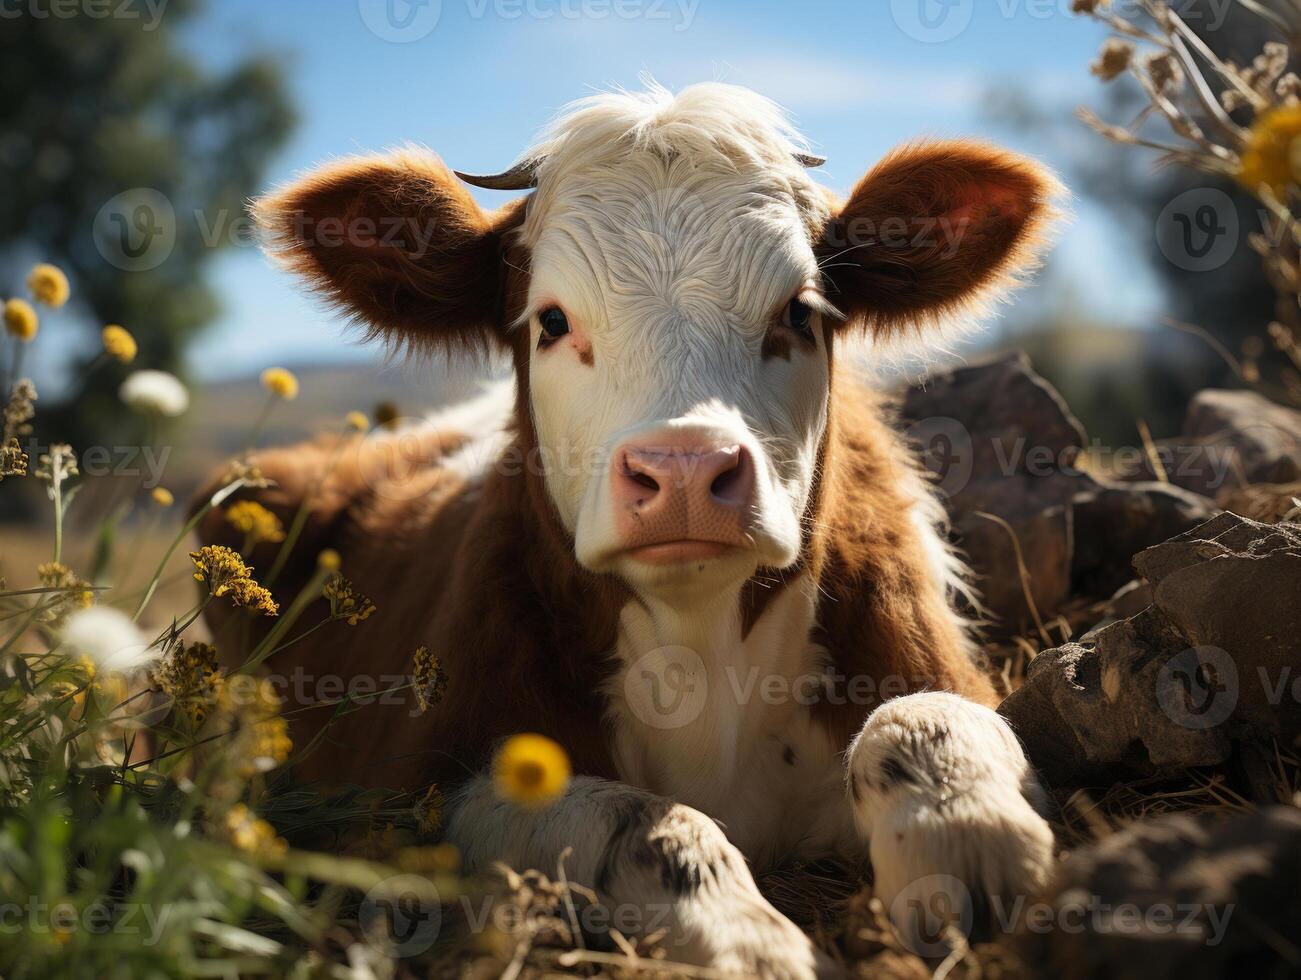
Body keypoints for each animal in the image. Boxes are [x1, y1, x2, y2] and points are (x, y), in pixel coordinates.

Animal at [197, 83, 1061, 973]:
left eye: (799, 312)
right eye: (549, 321)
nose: (682, 473)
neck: (701, 656)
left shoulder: (938, 670)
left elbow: (926, 720)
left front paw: (973, 850)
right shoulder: (414, 794)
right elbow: (639, 821)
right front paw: (746, 938)